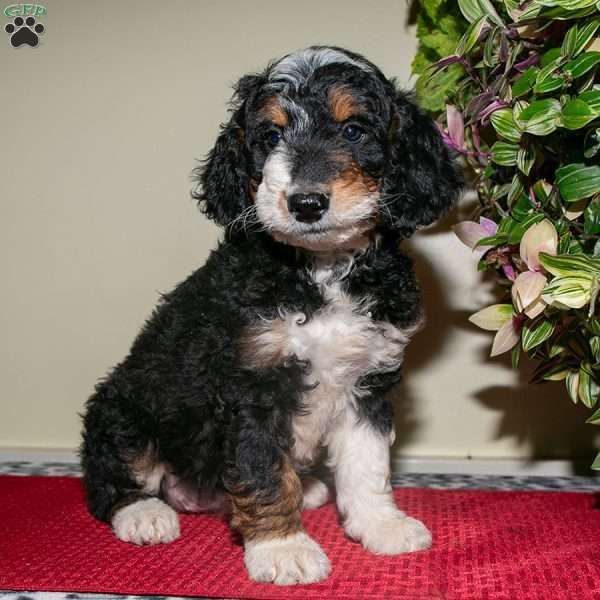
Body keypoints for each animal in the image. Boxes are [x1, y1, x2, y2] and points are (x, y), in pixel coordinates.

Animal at [82, 48, 462, 584]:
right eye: (270, 137)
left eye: (353, 131)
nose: (306, 203)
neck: (321, 271)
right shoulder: (254, 384)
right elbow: (262, 470)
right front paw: (283, 548)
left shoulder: (369, 379)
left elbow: (367, 462)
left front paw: (379, 524)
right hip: (123, 406)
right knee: (110, 477)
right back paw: (144, 513)